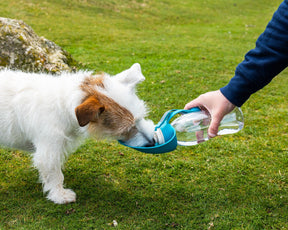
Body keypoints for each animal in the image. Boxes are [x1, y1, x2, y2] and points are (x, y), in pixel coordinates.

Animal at [0, 63, 155, 203]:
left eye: (141, 117)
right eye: (126, 129)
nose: (152, 142)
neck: (63, 105)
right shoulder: (49, 151)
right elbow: (54, 174)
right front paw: (59, 195)